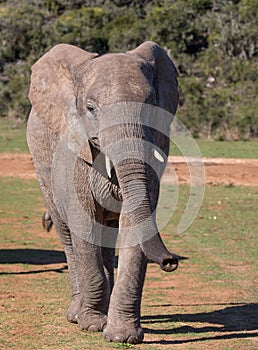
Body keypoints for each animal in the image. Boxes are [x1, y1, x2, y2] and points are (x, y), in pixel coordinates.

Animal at [26, 41, 179, 344]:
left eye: (151, 105)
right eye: (90, 108)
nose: (171, 262)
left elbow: (133, 224)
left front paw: (123, 336)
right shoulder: (73, 148)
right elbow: (83, 221)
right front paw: (93, 325)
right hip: (41, 165)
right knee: (67, 233)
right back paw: (76, 313)